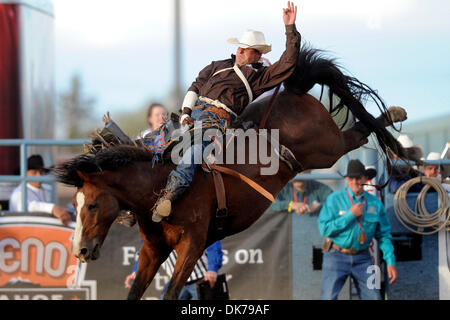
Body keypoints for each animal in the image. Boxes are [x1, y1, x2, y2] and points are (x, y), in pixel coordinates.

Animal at [55, 45, 408, 300]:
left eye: (92, 204)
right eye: (74, 205)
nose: (80, 250)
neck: (157, 186)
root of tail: (293, 90)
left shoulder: (193, 245)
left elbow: (170, 293)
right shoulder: (153, 250)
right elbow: (134, 292)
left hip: (326, 147)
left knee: (357, 134)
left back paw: (394, 114)